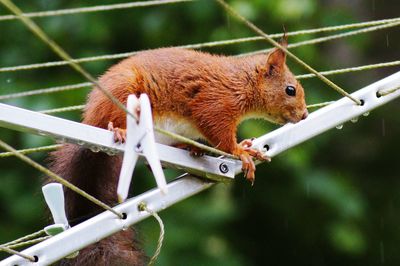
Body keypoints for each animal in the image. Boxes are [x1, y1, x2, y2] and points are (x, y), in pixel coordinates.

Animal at [48, 40, 308, 266]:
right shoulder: (214, 103)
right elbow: (220, 135)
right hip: (123, 95)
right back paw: (119, 130)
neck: (240, 82)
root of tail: (90, 117)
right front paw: (240, 151)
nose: (304, 115)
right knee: (111, 121)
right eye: (290, 90)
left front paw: (244, 145)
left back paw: (191, 148)